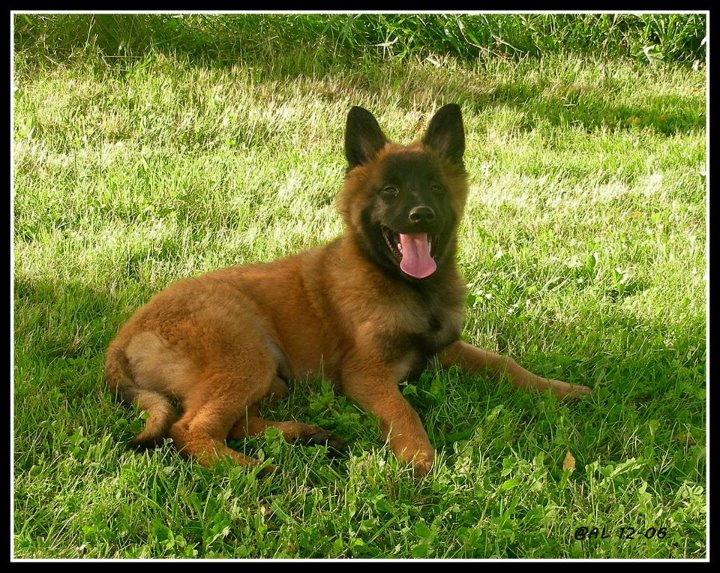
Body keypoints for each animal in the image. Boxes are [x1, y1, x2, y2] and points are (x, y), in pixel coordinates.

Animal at [106, 104, 591, 475]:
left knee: (230, 422)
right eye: (389, 190)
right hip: (246, 357)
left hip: (269, 378)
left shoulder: (444, 348)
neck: (408, 288)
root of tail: (121, 340)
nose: (420, 215)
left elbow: (507, 364)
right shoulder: (367, 374)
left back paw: (305, 435)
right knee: (191, 429)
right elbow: (404, 410)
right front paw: (420, 459)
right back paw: (258, 468)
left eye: (435, 187)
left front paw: (561, 389)